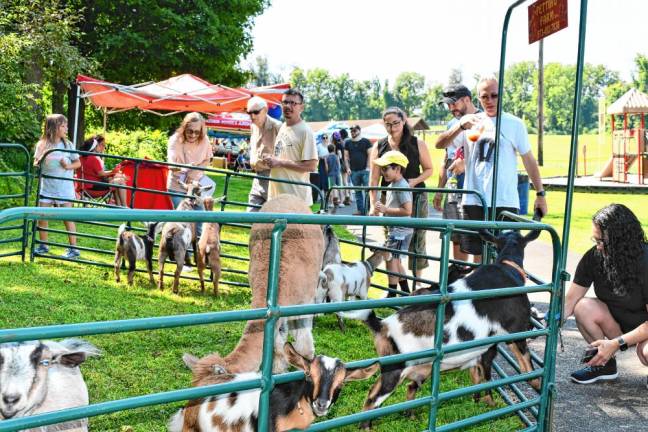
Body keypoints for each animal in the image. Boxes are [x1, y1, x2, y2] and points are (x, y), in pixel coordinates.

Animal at [344, 226, 540, 428]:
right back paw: (367, 427)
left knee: (402, 388)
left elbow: (479, 378)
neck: (508, 267)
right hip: (395, 368)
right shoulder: (513, 333)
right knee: (372, 398)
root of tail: (382, 325)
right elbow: (523, 368)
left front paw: (478, 402)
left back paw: (411, 417)